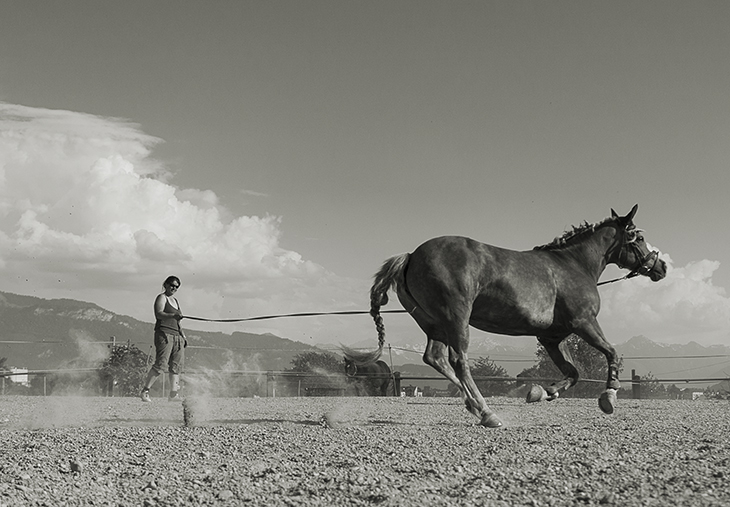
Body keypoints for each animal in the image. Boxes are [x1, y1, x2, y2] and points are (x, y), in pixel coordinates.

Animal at [342, 206, 664, 428]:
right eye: (639, 237)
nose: (661, 267)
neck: (573, 265)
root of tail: (411, 256)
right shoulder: (584, 323)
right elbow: (611, 353)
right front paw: (609, 396)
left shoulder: (552, 337)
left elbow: (573, 372)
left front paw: (542, 392)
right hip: (456, 318)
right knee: (459, 361)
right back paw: (486, 412)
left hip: (433, 324)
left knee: (435, 358)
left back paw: (474, 405)